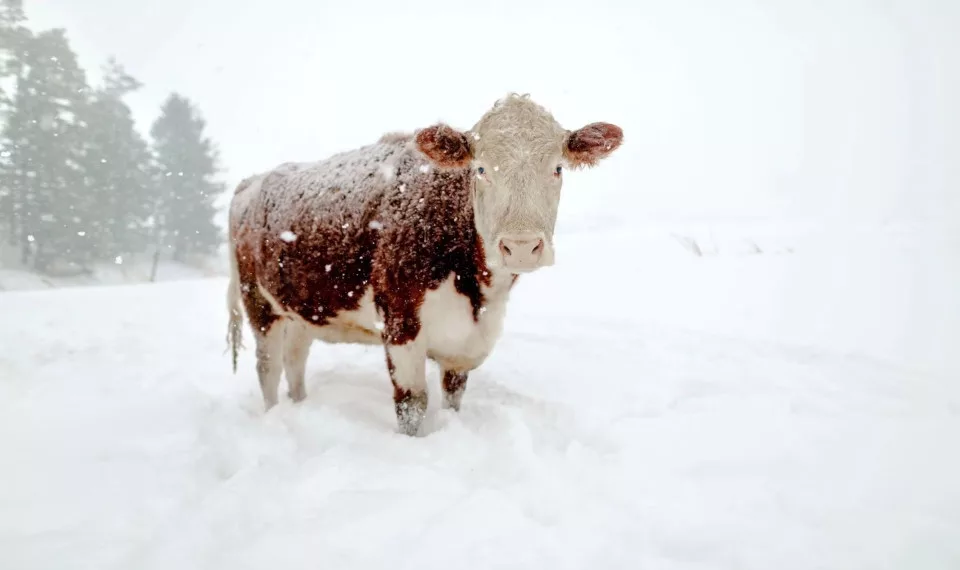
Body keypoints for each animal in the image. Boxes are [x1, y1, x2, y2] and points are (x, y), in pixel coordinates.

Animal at [225, 93, 624, 432]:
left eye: (557, 169)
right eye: (480, 169)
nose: (521, 246)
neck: (476, 292)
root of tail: (252, 181)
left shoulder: (467, 342)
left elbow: (453, 397)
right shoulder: (400, 322)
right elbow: (412, 405)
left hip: (301, 308)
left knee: (296, 361)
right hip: (259, 303)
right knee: (269, 368)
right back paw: (274, 416)